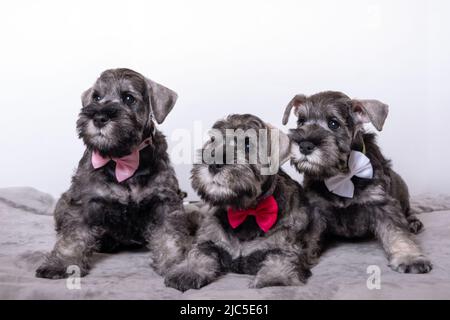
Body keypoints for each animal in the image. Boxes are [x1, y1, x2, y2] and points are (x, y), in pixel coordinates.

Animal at [36, 69, 192, 278]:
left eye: (128, 98)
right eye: (96, 97)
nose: (99, 118)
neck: (121, 158)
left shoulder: (164, 201)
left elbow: (170, 235)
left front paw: (177, 264)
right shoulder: (84, 200)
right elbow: (72, 236)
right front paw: (62, 263)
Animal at [163, 115, 312, 292]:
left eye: (248, 144)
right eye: (213, 140)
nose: (213, 163)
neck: (245, 212)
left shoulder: (287, 247)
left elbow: (281, 262)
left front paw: (273, 280)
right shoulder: (208, 241)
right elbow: (197, 253)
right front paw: (188, 272)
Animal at [282, 91, 432, 274]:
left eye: (333, 123)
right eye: (301, 121)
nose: (304, 145)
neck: (341, 174)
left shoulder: (382, 204)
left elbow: (397, 232)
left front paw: (409, 258)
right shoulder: (315, 209)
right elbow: (308, 238)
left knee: (408, 212)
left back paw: (413, 223)